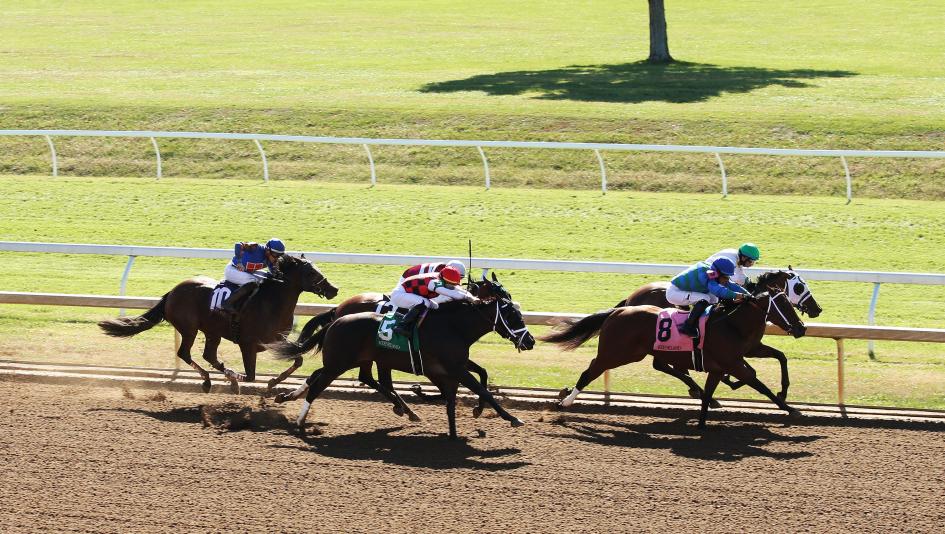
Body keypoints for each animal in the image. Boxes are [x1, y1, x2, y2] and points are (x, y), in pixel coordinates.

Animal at [98, 254, 338, 392]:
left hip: (212, 331)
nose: (333, 289)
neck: (272, 301)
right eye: (311, 271)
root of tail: (172, 292)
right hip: (189, 328)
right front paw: (238, 379)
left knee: (209, 355)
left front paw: (272, 382)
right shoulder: (248, 344)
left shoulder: (275, 341)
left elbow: (297, 361)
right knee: (185, 353)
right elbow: (250, 376)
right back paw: (209, 380)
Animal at [273, 280, 536, 439]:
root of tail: (336, 318)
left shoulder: (453, 366)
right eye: (512, 315)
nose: (530, 341)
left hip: (360, 360)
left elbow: (480, 376)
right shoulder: (454, 367)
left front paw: (474, 412)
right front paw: (512, 418)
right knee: (320, 383)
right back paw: (300, 419)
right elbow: (483, 390)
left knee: (359, 378)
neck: (453, 325)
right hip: (340, 363)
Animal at [540, 290, 807, 428]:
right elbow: (759, 384)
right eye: (784, 304)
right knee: (590, 372)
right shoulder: (733, 362)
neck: (731, 324)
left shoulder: (727, 362)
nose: (801, 328)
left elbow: (711, 392)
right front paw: (791, 409)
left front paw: (702, 423)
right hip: (616, 353)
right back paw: (565, 401)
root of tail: (619, 310)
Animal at [617, 268, 821, 402]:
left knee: (665, 365)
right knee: (663, 365)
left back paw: (698, 390)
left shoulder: (751, 348)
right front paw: (730, 380)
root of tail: (630, 299)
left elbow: (780, 356)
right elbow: (749, 371)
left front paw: (782, 392)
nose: (817, 309)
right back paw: (699, 391)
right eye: (799, 287)